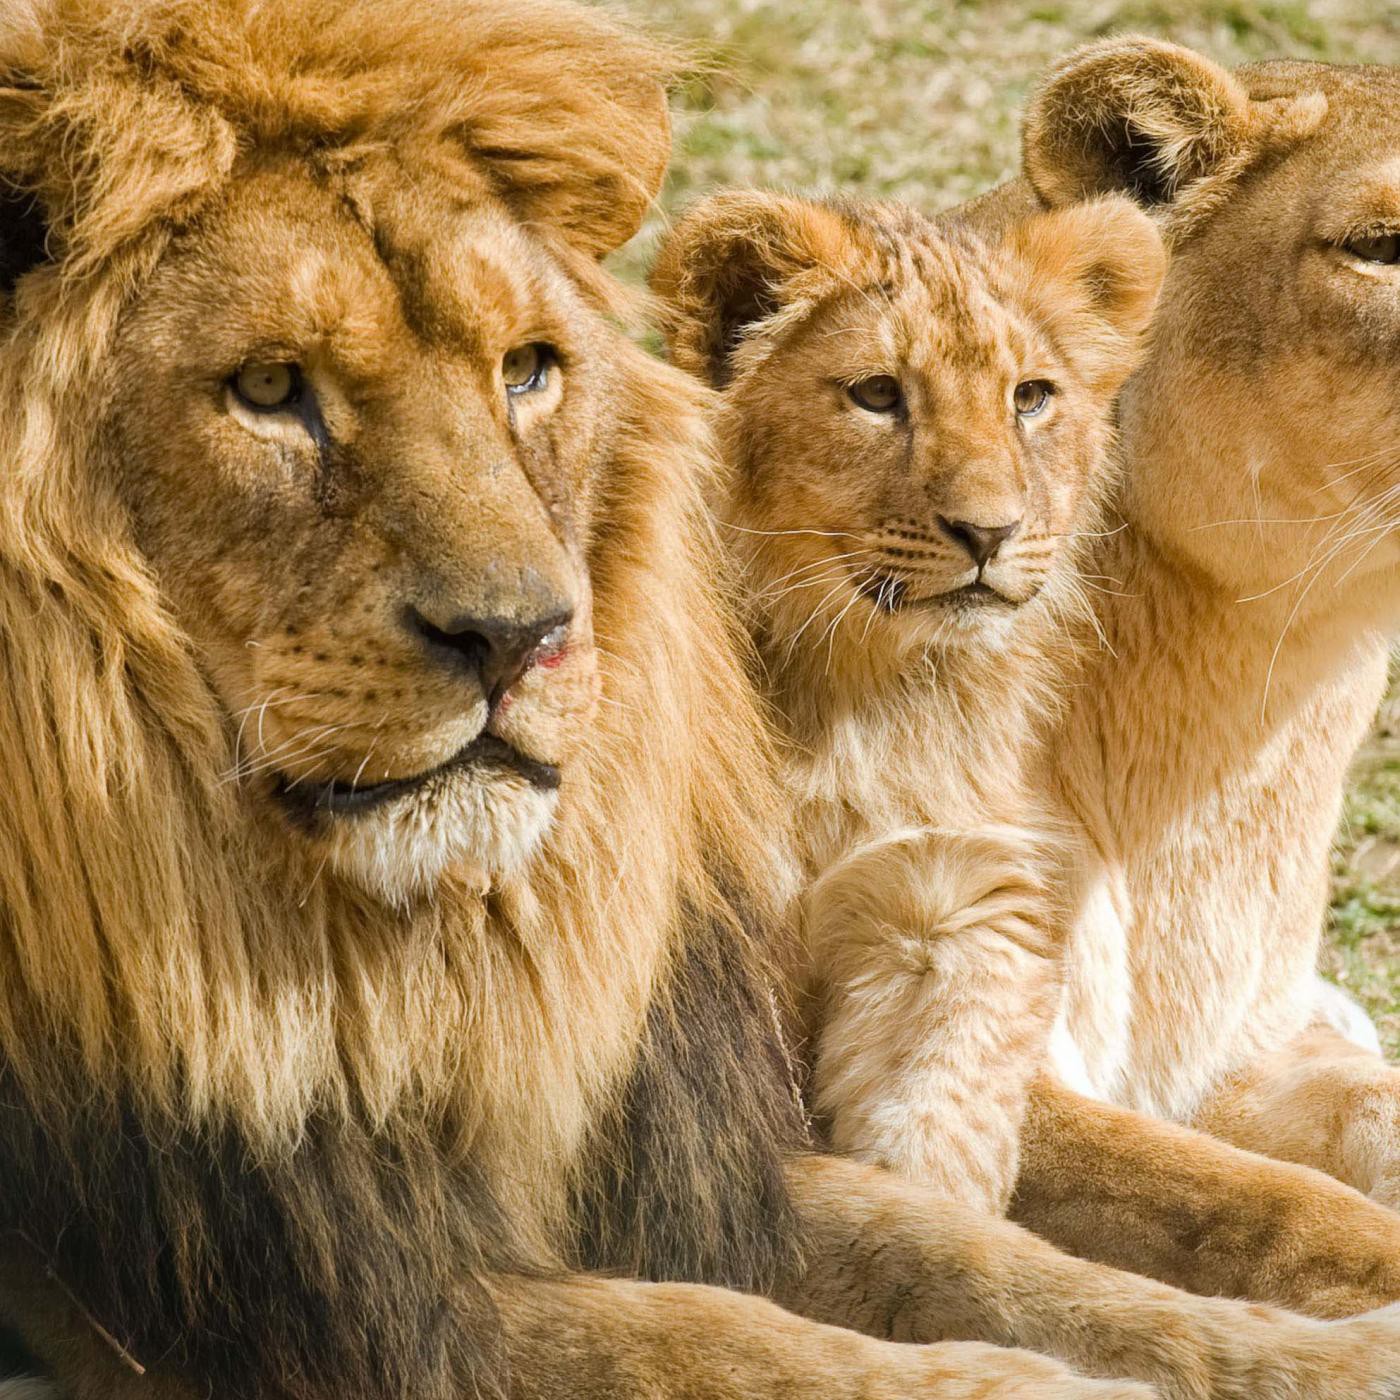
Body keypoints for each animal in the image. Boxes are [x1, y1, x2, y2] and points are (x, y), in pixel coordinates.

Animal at [652, 188, 1164, 1214]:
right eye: (879, 395)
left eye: (1030, 397)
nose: (990, 532)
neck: (857, 689)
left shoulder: (948, 900)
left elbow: (936, 1139)